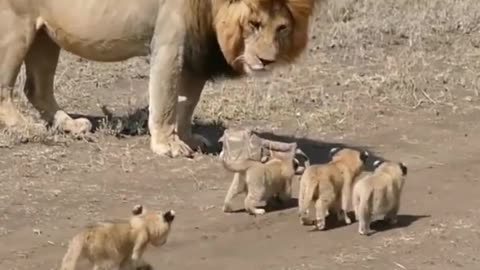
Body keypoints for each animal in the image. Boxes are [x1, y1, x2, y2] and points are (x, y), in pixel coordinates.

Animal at [0, 0, 316, 158]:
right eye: (254, 24)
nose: (267, 61)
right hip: (16, 26)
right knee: (5, 88)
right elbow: (165, 101)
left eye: (282, 28)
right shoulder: (169, 44)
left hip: (45, 35)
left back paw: (69, 124)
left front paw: (188, 138)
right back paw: (24, 127)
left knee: (37, 88)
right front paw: (168, 145)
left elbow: (187, 103)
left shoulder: (194, 51)